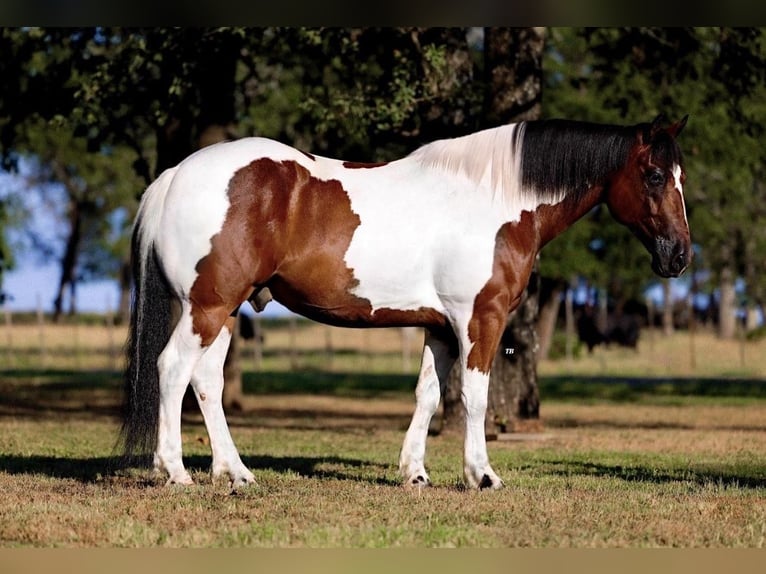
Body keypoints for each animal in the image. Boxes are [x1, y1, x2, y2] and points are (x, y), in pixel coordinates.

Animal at [123, 116, 692, 490]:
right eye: (655, 175)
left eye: (680, 177)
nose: (680, 255)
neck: (495, 201)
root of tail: (175, 174)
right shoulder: (480, 320)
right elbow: (475, 398)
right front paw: (482, 474)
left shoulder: (439, 326)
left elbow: (429, 395)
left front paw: (414, 473)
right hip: (207, 306)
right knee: (172, 369)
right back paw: (175, 472)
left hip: (223, 311)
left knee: (207, 381)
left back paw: (236, 473)